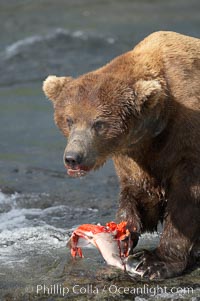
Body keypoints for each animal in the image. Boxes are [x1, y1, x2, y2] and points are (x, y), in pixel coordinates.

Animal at [43, 31, 200, 278]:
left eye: (98, 123)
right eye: (69, 119)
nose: (73, 157)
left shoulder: (186, 141)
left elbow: (186, 202)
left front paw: (155, 262)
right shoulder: (133, 156)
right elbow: (138, 195)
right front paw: (122, 235)